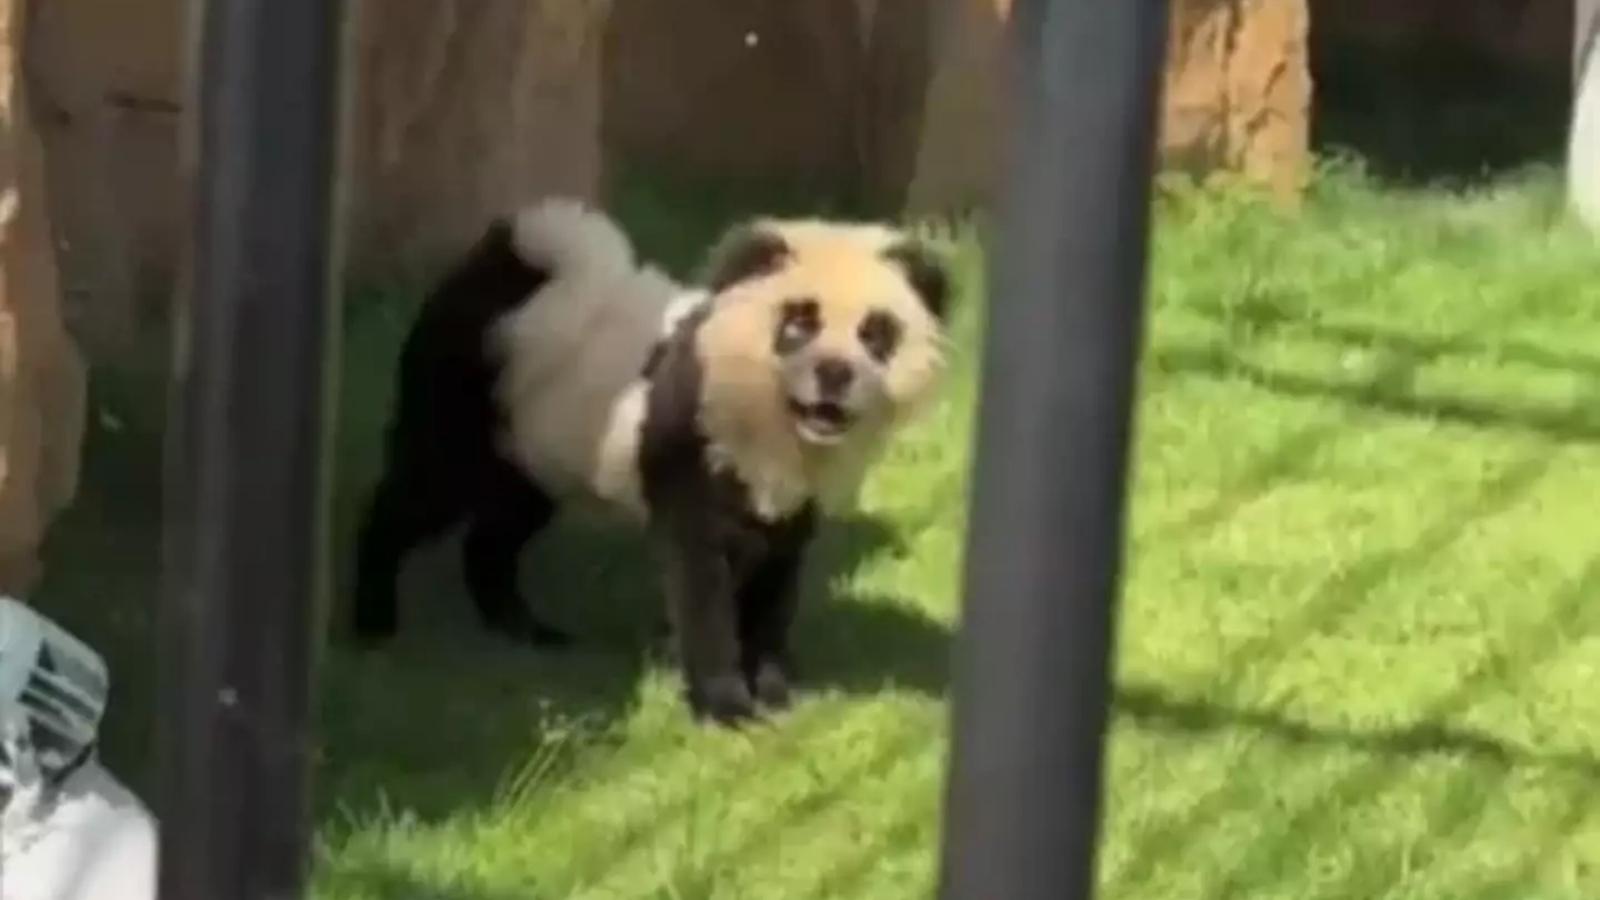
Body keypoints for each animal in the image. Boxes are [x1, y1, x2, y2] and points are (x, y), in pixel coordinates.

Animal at [351, 197, 951, 724]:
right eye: (798, 323)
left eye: (876, 333)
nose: (834, 374)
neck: (771, 422)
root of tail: (507, 258)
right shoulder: (691, 451)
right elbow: (702, 586)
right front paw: (727, 709)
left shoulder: (789, 504)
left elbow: (775, 588)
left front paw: (778, 694)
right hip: (460, 399)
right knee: (419, 493)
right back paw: (373, 620)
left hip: (535, 447)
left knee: (497, 532)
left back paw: (525, 630)